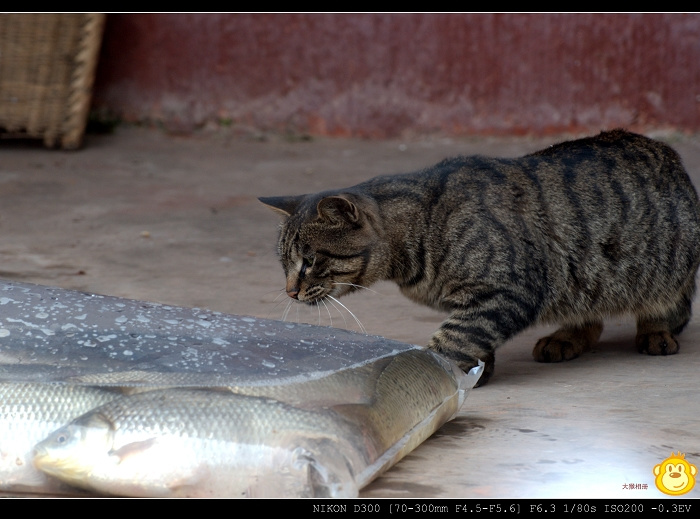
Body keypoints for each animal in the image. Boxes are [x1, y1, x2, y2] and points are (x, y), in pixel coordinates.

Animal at [258, 132, 700, 388]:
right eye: (284, 264)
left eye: (309, 260)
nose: (289, 291)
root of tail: (671, 156)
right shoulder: (479, 302)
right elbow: (473, 337)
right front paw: (478, 372)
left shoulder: (507, 289)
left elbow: (454, 338)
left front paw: (440, 375)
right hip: (582, 280)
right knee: (589, 316)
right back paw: (566, 337)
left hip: (665, 270)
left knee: (674, 308)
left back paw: (656, 332)